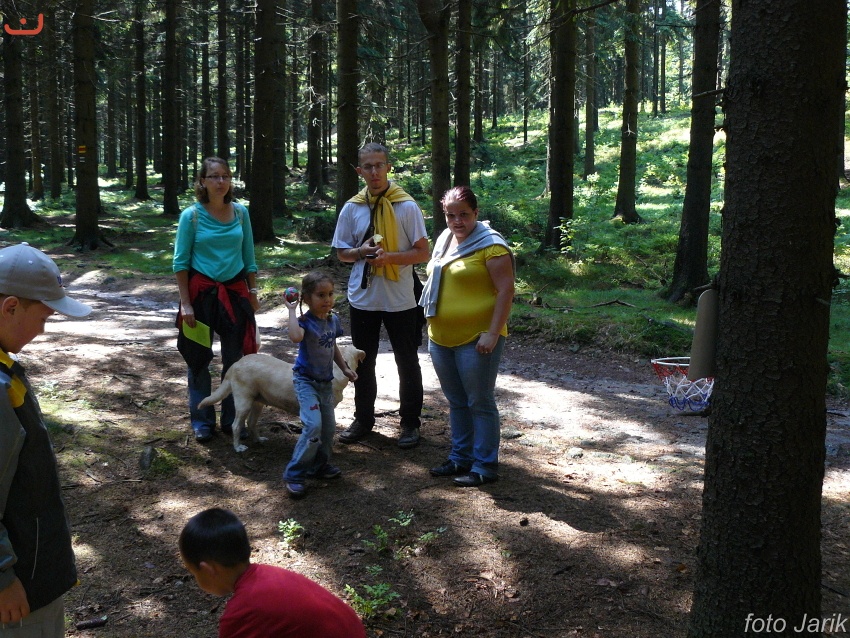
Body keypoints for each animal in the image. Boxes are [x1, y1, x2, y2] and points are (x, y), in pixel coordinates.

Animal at [197, 344, 366, 452]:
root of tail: (236, 363)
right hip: (244, 403)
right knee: (236, 425)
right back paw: (238, 447)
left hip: (257, 403)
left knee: (251, 423)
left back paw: (258, 440)